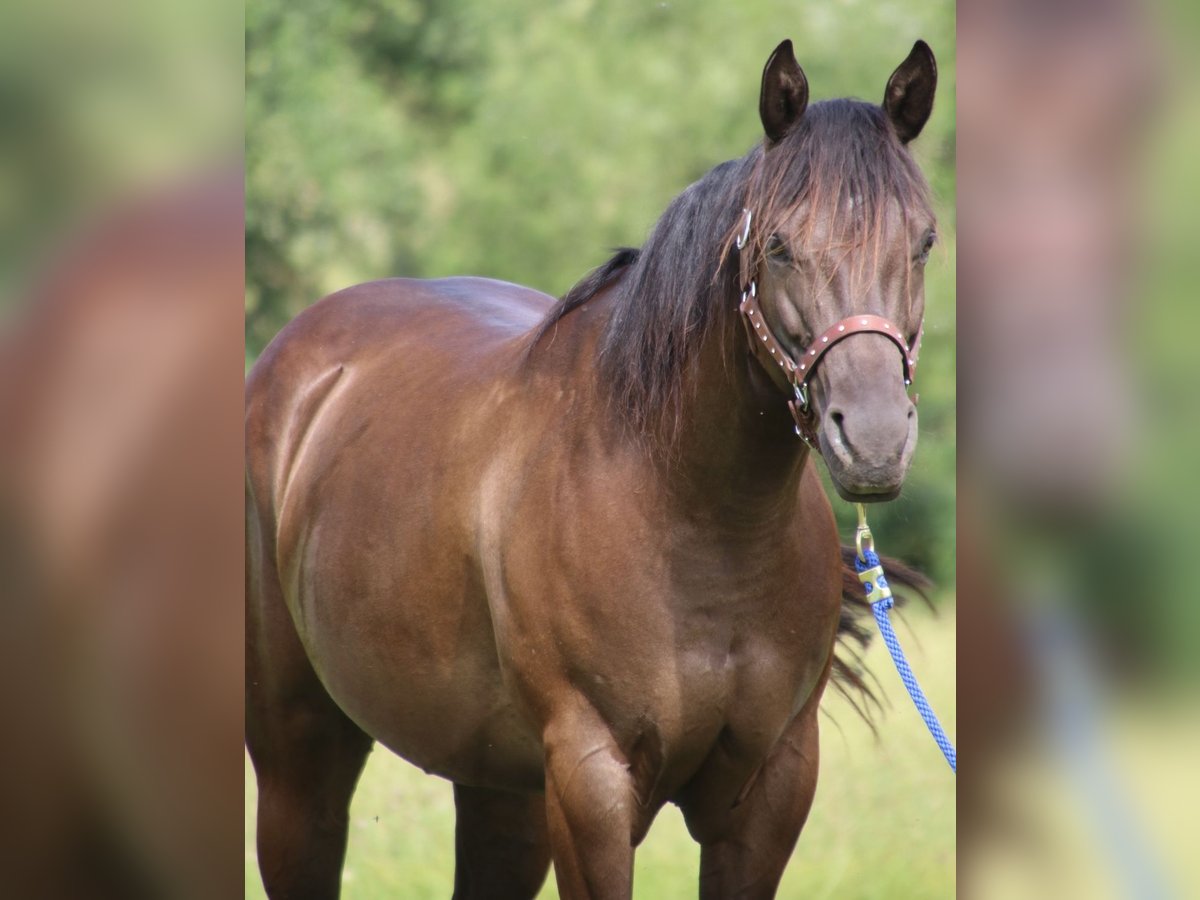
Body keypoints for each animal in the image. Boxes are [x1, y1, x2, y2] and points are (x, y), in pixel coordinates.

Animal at [243, 38, 936, 897]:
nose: (872, 439)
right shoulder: (591, 782)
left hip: (498, 789)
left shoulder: (770, 790)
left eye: (923, 241)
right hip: (298, 759)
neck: (694, 517)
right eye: (779, 245)